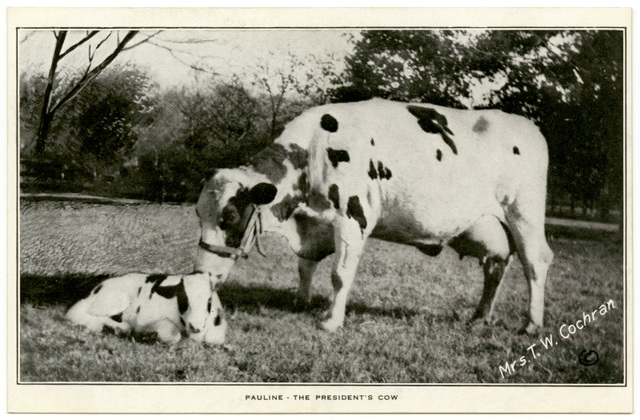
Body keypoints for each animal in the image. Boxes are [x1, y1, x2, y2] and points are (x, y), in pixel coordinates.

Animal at [67, 272, 228, 344]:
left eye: (209, 300)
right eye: (183, 300)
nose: (196, 326)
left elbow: (215, 338)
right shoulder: (145, 320)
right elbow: (173, 335)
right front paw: (149, 335)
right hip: (116, 300)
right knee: (88, 316)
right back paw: (121, 328)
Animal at [196, 98, 556, 334]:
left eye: (229, 216)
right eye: (198, 214)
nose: (201, 275)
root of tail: (527, 126)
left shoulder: (352, 218)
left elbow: (340, 275)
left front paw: (331, 321)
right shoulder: (316, 224)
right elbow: (305, 266)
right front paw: (301, 301)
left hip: (524, 214)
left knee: (535, 262)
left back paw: (531, 325)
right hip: (492, 227)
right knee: (496, 265)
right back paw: (480, 317)